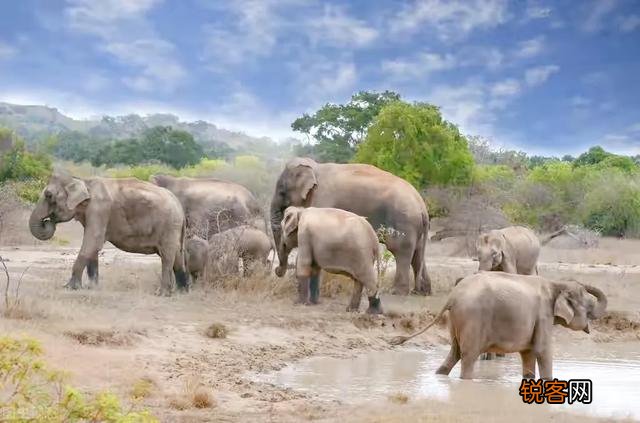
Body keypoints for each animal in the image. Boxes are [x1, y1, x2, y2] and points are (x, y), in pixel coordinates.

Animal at [29, 172, 188, 295]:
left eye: (49, 195)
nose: (49, 220)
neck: (82, 180)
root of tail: (179, 206)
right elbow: (92, 247)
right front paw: (91, 288)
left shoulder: (99, 209)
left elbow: (93, 241)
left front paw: (70, 288)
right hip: (173, 228)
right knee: (177, 255)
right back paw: (182, 291)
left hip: (169, 226)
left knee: (167, 256)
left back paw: (162, 293)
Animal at [270, 157, 431, 301]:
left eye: (282, 192)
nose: (277, 271)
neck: (315, 167)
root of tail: (422, 207)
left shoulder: (323, 198)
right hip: (415, 227)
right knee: (417, 254)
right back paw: (423, 291)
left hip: (404, 221)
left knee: (400, 251)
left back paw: (397, 292)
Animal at [390, 271, 607, 380]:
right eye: (588, 305)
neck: (556, 283)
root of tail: (453, 296)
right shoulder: (543, 315)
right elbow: (542, 350)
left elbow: (528, 353)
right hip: (473, 318)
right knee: (468, 356)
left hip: (455, 321)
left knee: (454, 353)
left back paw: (440, 375)